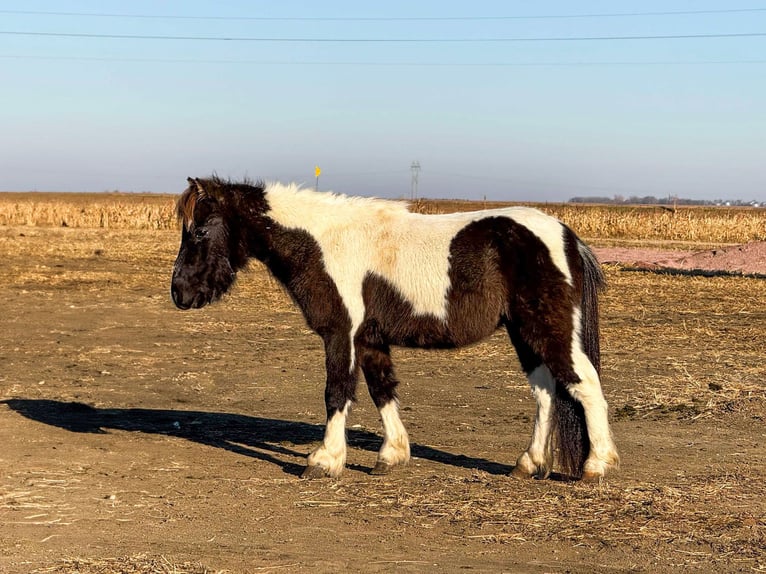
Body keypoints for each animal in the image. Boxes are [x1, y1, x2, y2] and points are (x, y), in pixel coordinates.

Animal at [171, 176, 620, 482]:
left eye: (200, 230)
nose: (180, 292)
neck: (323, 243)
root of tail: (567, 238)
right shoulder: (370, 339)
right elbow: (381, 390)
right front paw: (392, 455)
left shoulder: (341, 333)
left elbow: (337, 392)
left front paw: (325, 460)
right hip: (524, 334)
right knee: (546, 392)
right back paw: (529, 464)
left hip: (548, 329)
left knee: (585, 385)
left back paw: (596, 466)